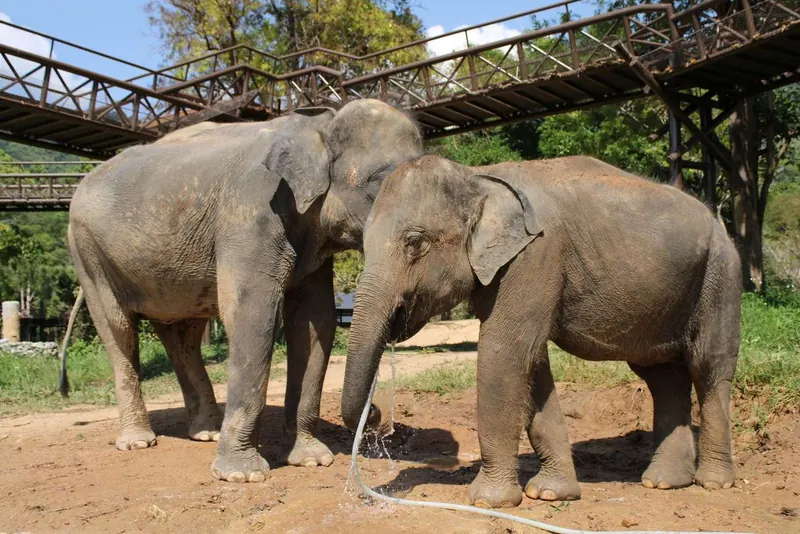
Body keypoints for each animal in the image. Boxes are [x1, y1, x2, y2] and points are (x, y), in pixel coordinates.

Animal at [66, 99, 423, 483]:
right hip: (87, 252)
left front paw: (311, 460)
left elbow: (314, 322)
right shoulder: (251, 212)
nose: (378, 418)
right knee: (119, 329)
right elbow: (254, 315)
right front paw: (243, 476)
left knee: (183, 337)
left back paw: (206, 433)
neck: (321, 125)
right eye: (379, 182)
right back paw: (138, 441)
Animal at [341, 154, 742, 508]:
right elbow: (532, 363)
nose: (375, 415)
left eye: (415, 242)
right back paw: (664, 482)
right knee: (663, 376)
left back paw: (713, 482)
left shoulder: (536, 254)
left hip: (720, 275)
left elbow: (505, 352)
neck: (477, 177)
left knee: (709, 368)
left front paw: (489, 501)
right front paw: (550, 493)